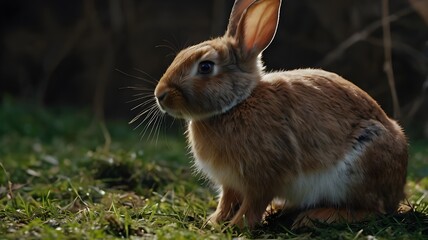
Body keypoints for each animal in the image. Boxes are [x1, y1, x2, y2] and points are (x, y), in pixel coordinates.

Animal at [153, 0, 408, 230]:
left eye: (205, 67)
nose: (160, 94)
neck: (237, 104)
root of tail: (398, 186)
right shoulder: (230, 183)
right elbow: (226, 201)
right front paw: (214, 222)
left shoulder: (263, 177)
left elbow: (252, 205)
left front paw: (237, 226)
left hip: (359, 169)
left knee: (372, 210)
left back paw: (315, 217)